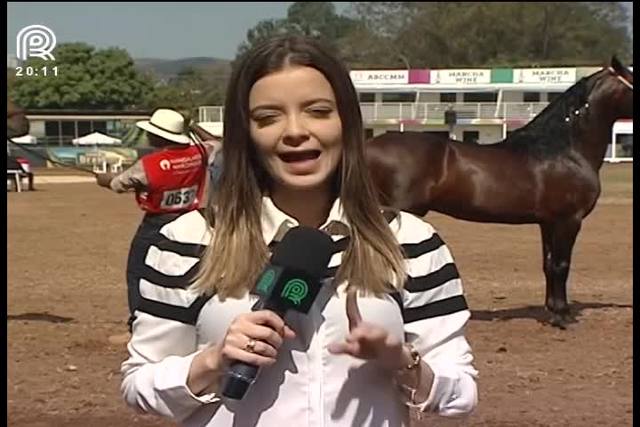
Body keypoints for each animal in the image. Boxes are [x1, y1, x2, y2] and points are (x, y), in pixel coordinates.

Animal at [368, 56, 632, 328]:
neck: (564, 150)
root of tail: (369, 146)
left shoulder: (548, 223)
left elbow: (549, 265)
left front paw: (553, 310)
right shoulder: (568, 220)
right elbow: (561, 265)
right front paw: (562, 315)